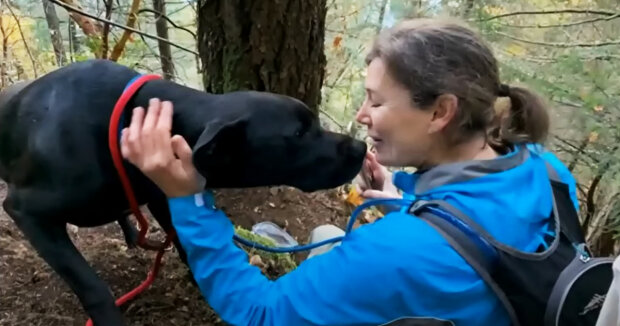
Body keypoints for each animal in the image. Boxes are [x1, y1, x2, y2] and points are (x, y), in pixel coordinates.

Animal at [0, 59, 366, 324]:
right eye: (300, 133)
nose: (361, 148)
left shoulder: (163, 193)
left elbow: (186, 242)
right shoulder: (26, 211)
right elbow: (91, 285)